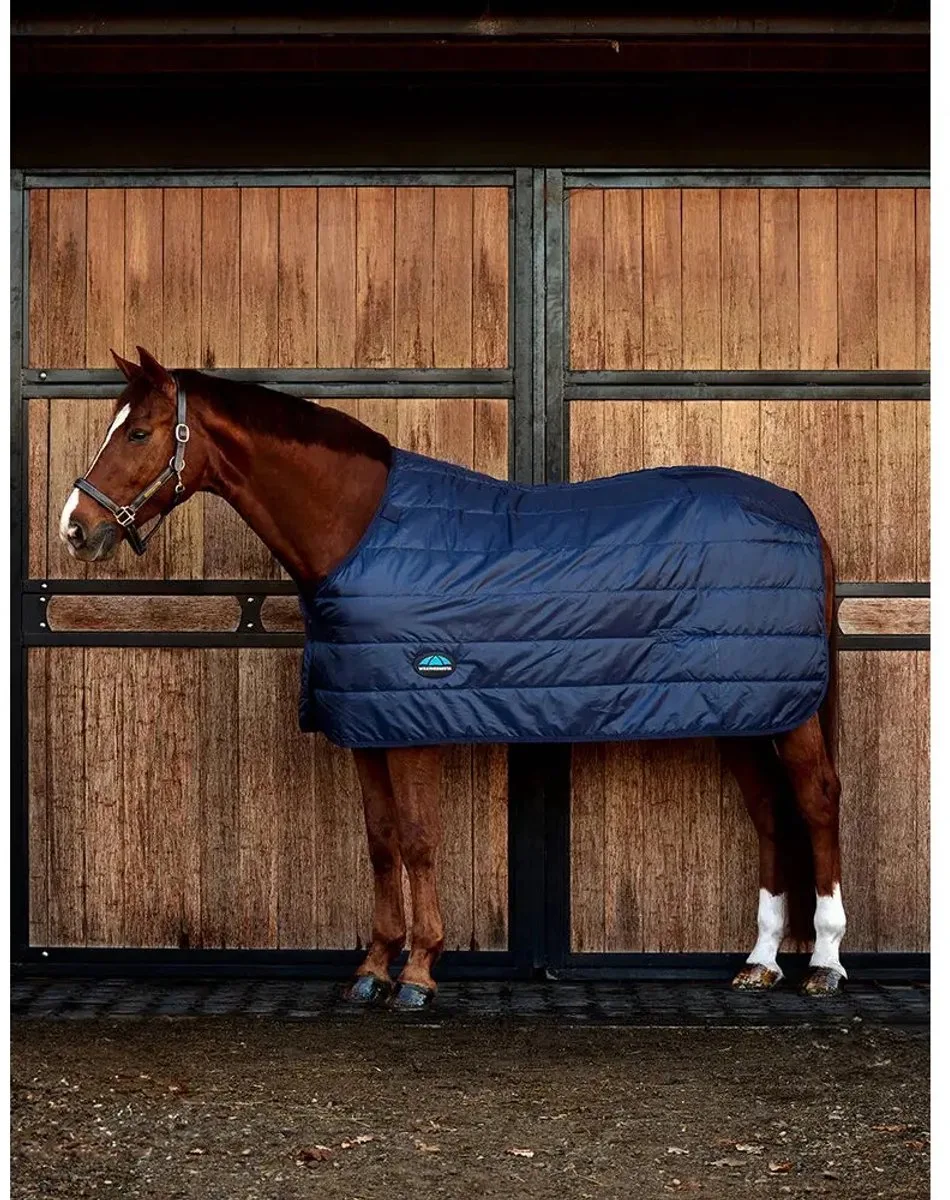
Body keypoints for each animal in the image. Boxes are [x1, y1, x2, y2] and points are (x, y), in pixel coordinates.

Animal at [59, 346, 847, 1009]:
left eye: (139, 433)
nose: (74, 527)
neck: (359, 532)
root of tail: (801, 514)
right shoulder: (367, 722)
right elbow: (380, 842)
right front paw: (372, 968)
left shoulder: (414, 716)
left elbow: (416, 839)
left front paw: (418, 971)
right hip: (742, 708)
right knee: (768, 810)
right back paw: (760, 962)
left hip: (789, 712)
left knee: (815, 801)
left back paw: (825, 963)